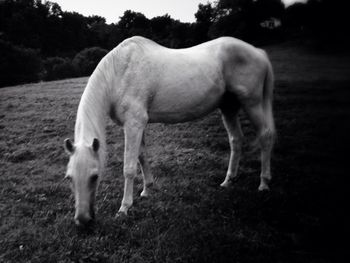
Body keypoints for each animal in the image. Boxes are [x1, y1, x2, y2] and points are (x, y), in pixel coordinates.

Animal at [63, 36, 276, 228]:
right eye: (69, 178)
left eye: (95, 176)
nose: (82, 220)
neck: (120, 72)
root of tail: (258, 52)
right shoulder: (137, 125)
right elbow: (142, 156)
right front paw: (147, 190)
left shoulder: (133, 123)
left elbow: (129, 167)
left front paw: (124, 208)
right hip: (228, 107)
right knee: (236, 140)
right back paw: (228, 181)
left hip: (252, 103)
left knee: (265, 136)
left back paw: (264, 184)